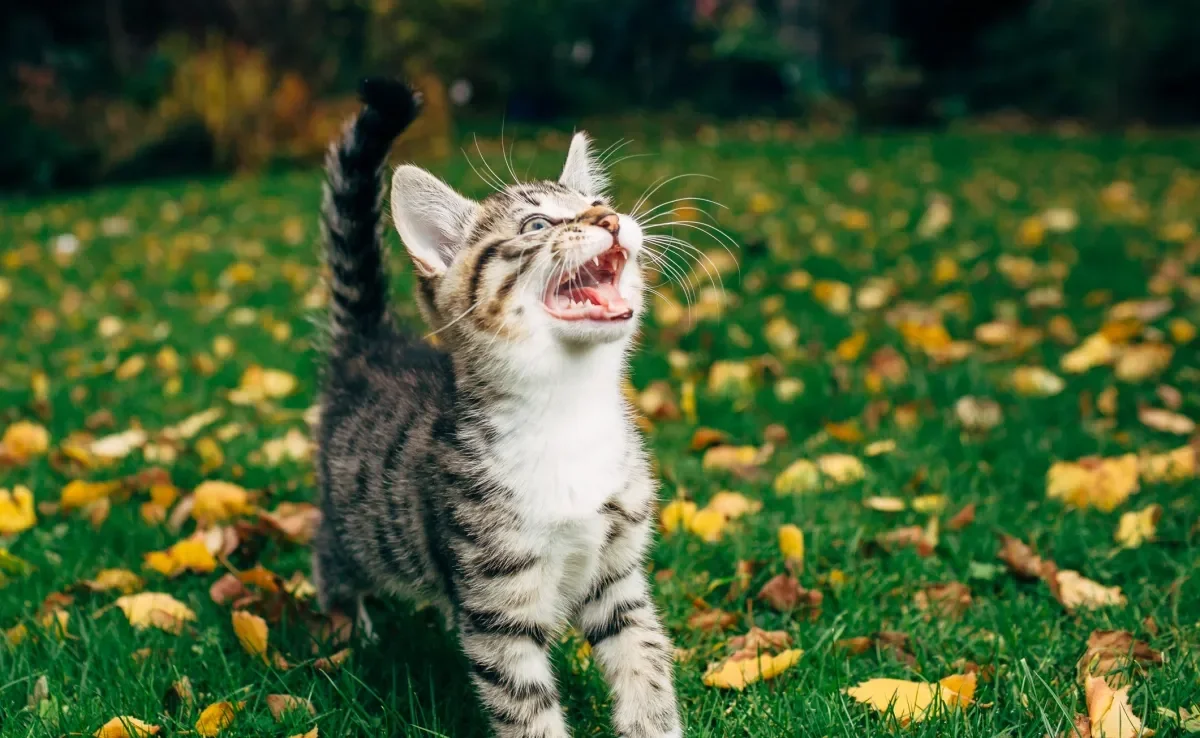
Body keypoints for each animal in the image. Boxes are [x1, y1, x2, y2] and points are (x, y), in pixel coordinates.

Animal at [314, 81, 681, 738]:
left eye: (597, 202)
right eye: (537, 223)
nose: (611, 219)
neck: (569, 413)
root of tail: (374, 344)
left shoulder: (618, 575)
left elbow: (644, 660)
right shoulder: (497, 605)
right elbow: (524, 705)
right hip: (355, 523)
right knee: (331, 557)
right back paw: (348, 629)